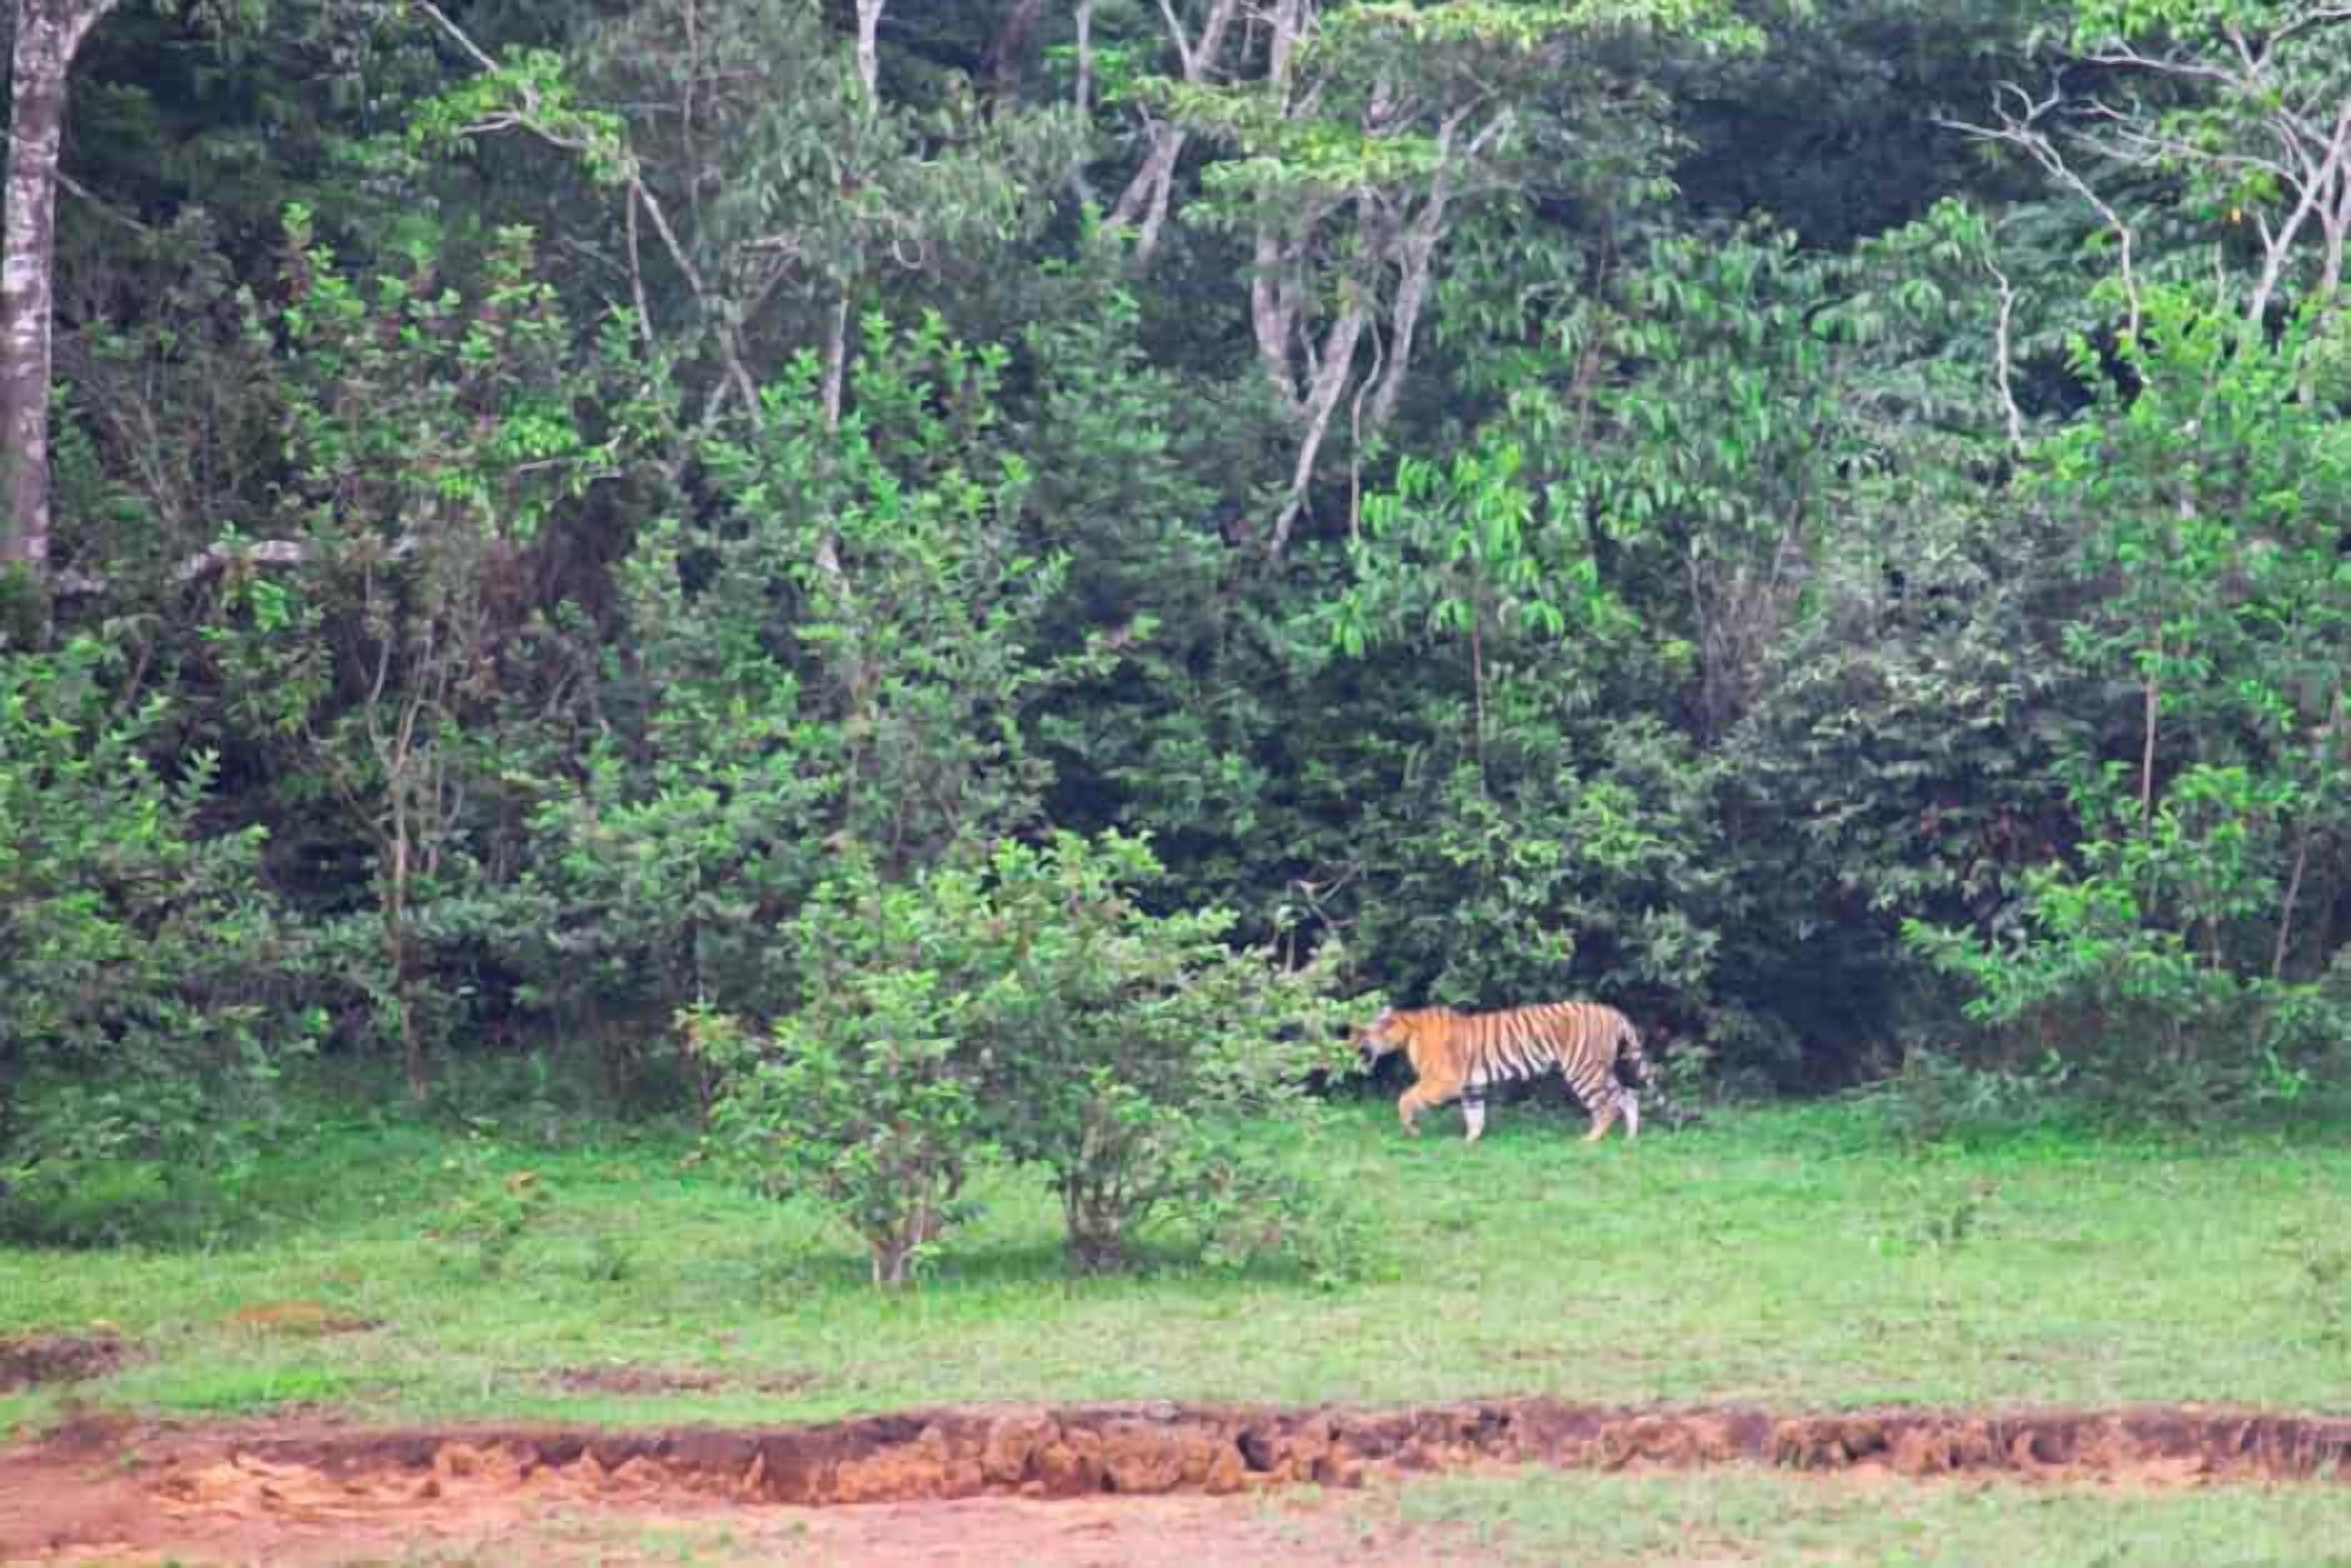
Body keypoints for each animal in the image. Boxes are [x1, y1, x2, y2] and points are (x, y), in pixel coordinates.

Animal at [1354, 1001, 1653, 1144]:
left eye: (1366, 1032)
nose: (1355, 1045)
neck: (1408, 1033)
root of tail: (1613, 1012)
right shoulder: (1470, 1086)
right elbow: (1475, 1116)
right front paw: (1468, 1142)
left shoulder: (1443, 1081)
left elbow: (1405, 1098)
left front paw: (1412, 1130)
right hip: (1601, 1069)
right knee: (1628, 1095)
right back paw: (1630, 1139)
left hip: (1584, 1070)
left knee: (1607, 1105)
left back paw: (1589, 1140)